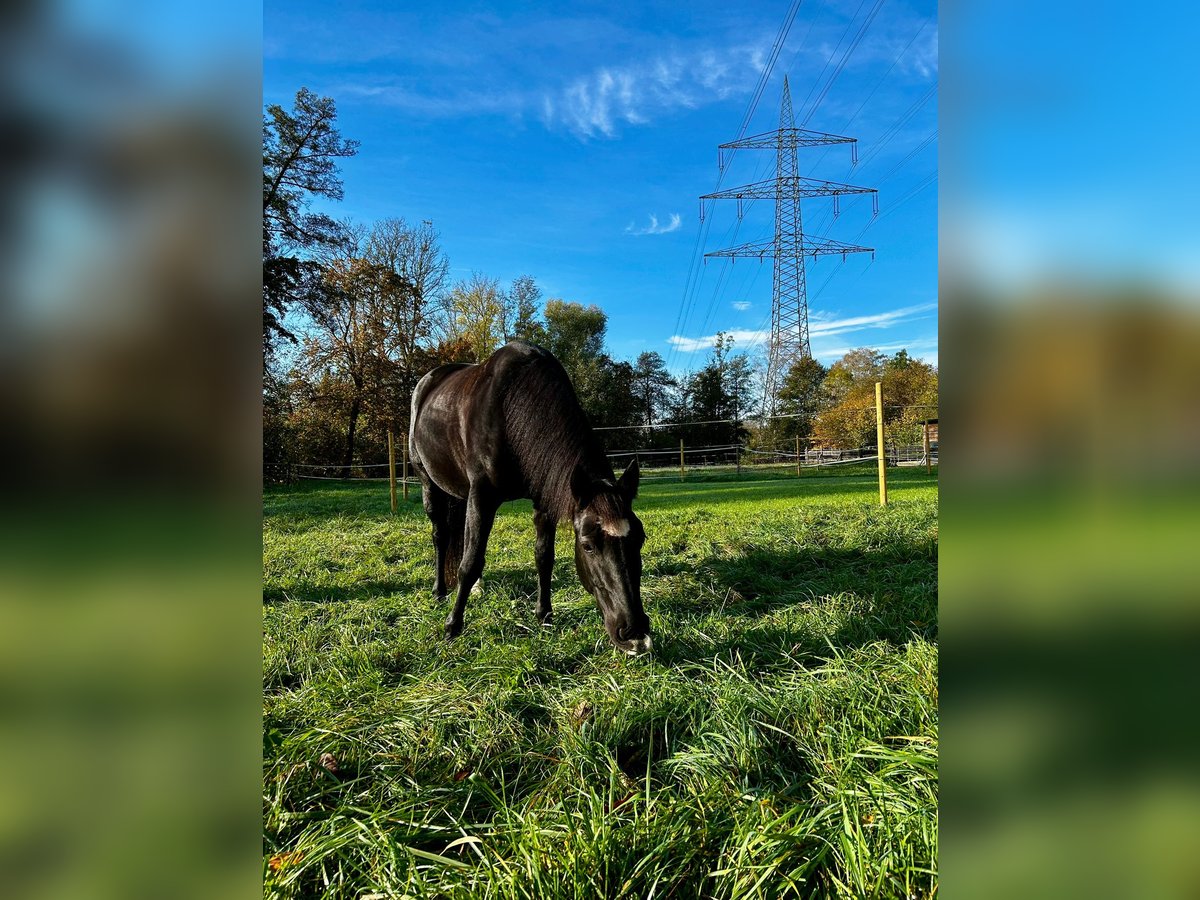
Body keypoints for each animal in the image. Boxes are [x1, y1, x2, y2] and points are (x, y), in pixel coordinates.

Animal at [408, 340, 652, 657]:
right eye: (587, 546)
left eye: (640, 539)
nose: (634, 632)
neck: (512, 410)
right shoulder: (482, 496)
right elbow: (470, 562)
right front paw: (452, 626)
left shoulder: (543, 499)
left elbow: (543, 557)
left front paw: (544, 615)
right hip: (430, 485)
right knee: (441, 536)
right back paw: (439, 591)